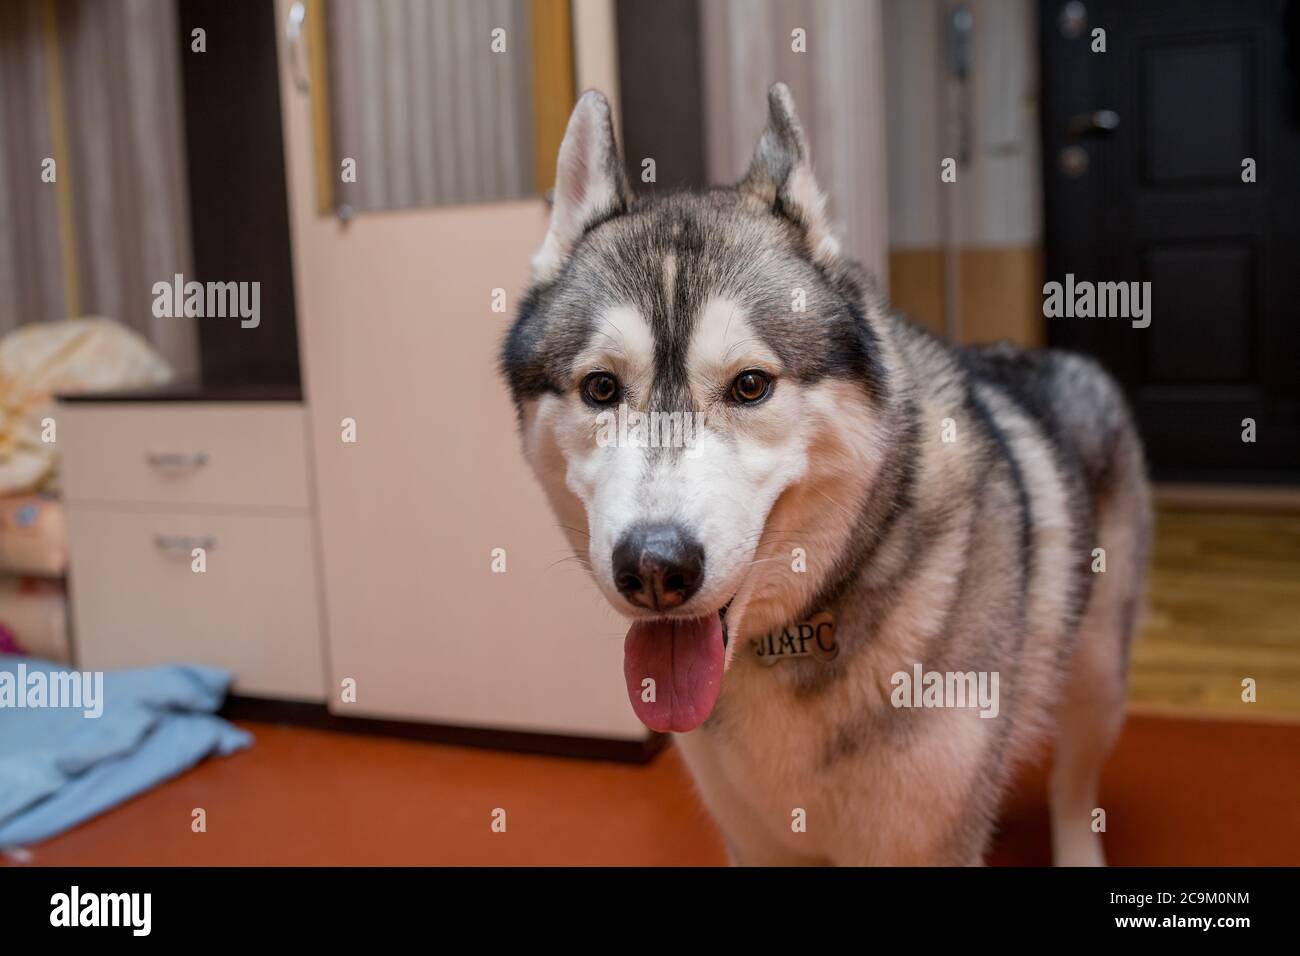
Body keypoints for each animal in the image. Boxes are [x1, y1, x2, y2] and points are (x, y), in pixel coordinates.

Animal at [501, 85, 1154, 868]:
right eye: (601, 388)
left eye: (750, 385)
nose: (654, 567)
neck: (792, 634)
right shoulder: (757, 843)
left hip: (1098, 682)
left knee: (1074, 788)